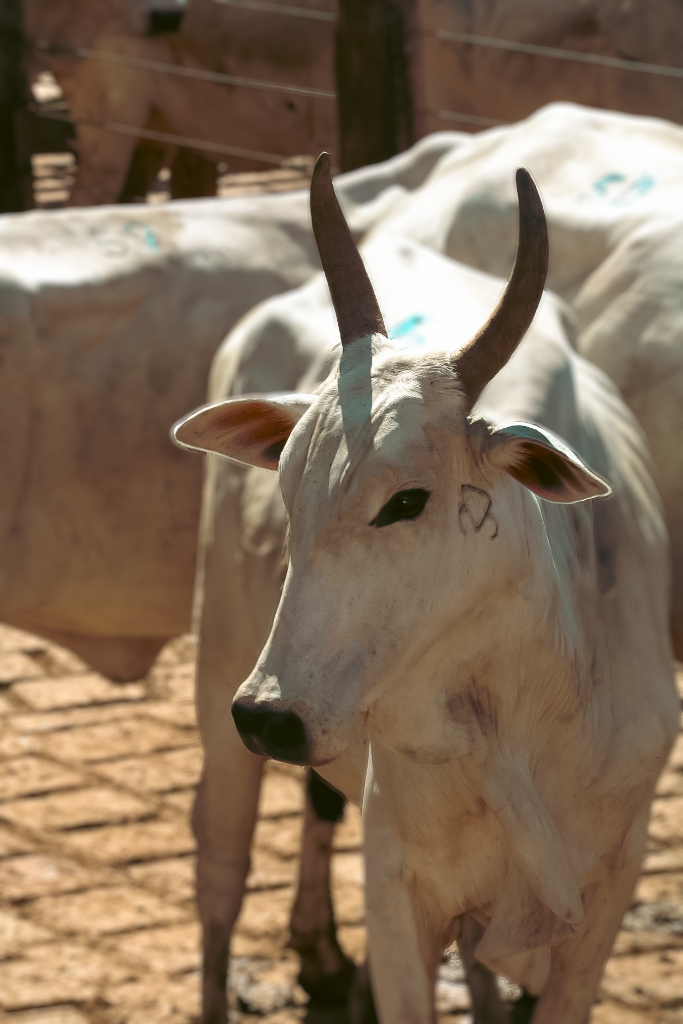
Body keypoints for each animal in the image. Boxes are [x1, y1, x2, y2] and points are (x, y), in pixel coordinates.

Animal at [176, 155, 679, 1019]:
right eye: (287, 490)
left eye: (406, 502)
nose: (270, 715)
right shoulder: (395, 885)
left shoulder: (604, 900)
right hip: (219, 675)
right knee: (220, 867)